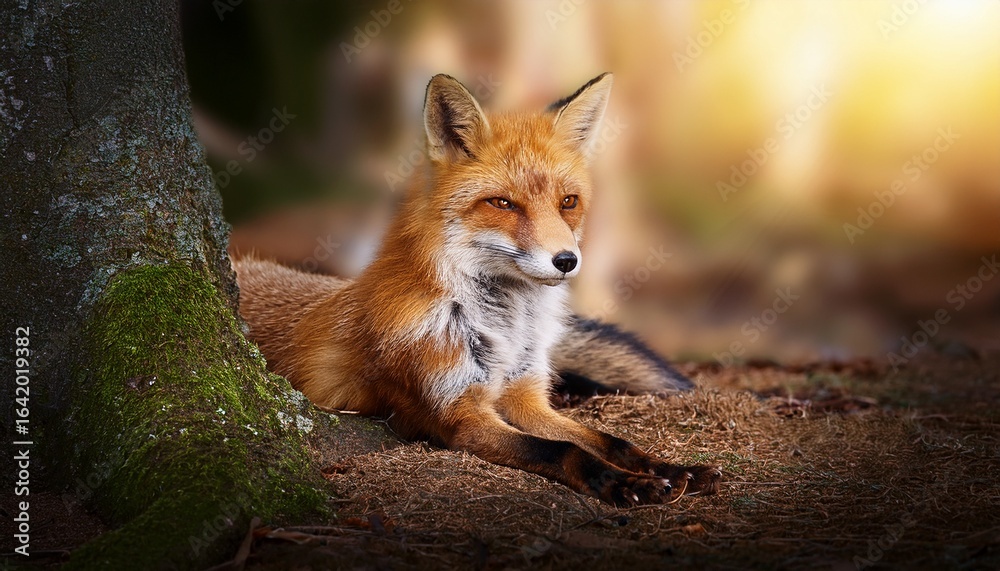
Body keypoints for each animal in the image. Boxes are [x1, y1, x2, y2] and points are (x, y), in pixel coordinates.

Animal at [233, 73, 721, 506]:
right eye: (502, 203)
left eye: (568, 202)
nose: (566, 261)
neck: (505, 327)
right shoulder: (459, 414)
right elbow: (563, 450)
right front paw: (623, 483)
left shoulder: (526, 395)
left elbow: (609, 440)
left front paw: (670, 468)